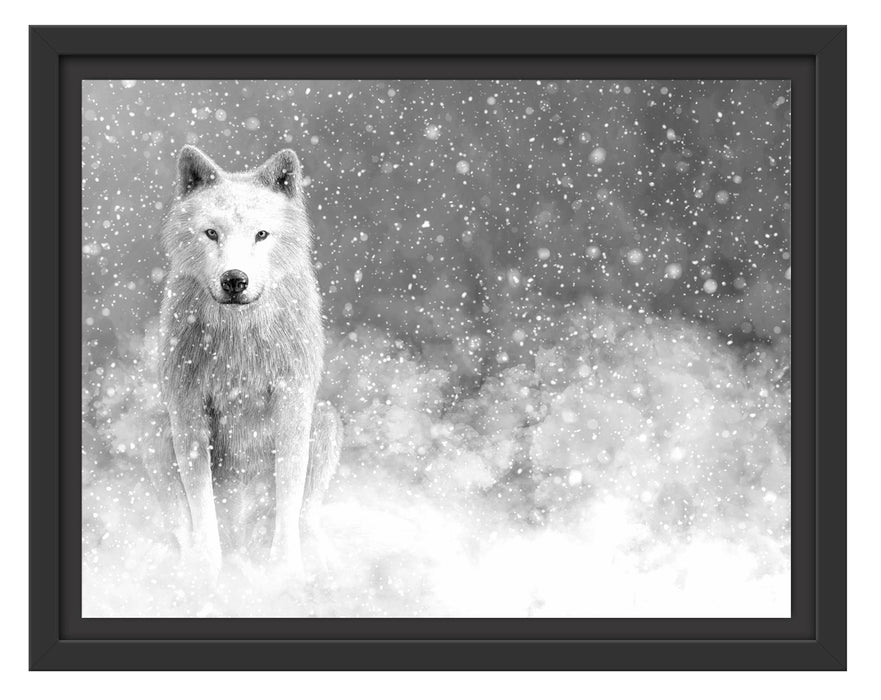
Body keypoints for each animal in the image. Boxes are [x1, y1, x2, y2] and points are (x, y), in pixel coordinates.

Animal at [151, 145, 341, 578]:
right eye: (211, 233)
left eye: (261, 234)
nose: (234, 280)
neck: (238, 339)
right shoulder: (187, 406)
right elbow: (201, 499)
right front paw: (205, 573)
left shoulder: (292, 399)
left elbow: (289, 489)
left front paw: (284, 571)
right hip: (159, 432)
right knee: (182, 522)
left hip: (324, 420)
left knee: (306, 513)